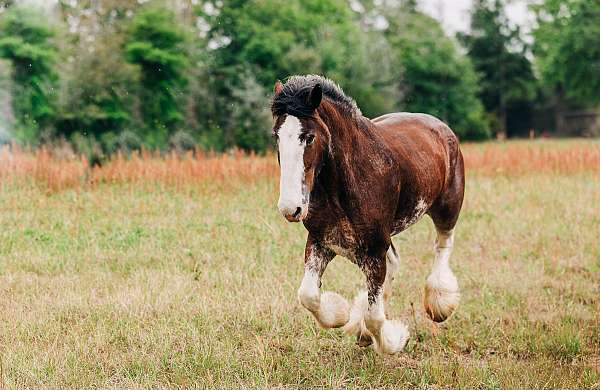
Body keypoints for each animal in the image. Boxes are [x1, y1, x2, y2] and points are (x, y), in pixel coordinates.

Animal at [270, 74, 464, 354]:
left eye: (309, 137)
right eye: (276, 136)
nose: (290, 208)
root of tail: (440, 126)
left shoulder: (373, 249)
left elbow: (374, 317)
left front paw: (394, 340)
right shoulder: (321, 241)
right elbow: (308, 295)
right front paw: (342, 315)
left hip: (447, 207)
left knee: (443, 244)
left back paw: (439, 305)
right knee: (394, 263)